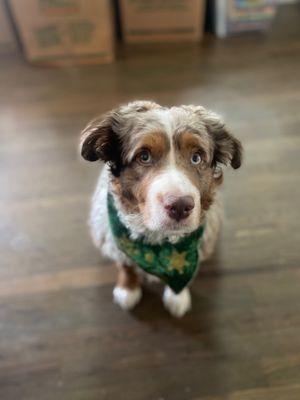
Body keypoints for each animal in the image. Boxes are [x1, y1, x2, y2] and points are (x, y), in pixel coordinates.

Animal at [81, 99, 243, 316]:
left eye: (197, 157)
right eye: (144, 156)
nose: (181, 206)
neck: (157, 242)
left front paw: (177, 297)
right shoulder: (114, 241)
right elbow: (125, 266)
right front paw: (127, 290)